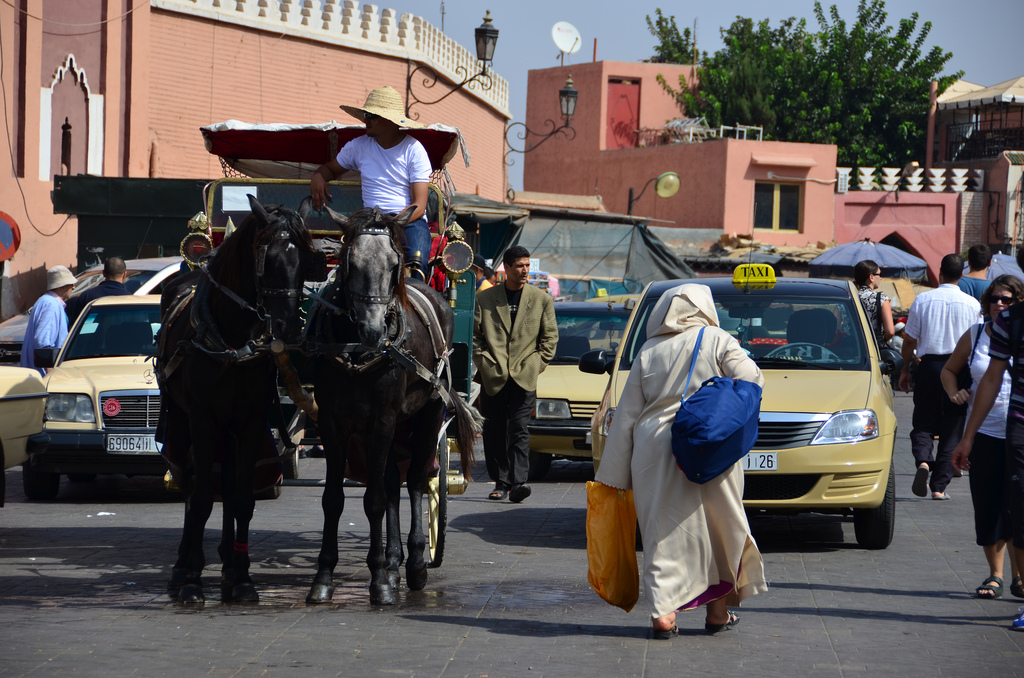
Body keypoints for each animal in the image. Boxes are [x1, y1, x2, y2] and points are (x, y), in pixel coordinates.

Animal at [307, 204, 479, 606]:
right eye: (350, 262)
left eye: (393, 264)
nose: (373, 331)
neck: (357, 352)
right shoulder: (332, 422)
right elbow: (334, 499)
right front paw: (324, 578)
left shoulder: (382, 420)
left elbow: (374, 499)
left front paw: (380, 584)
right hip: (398, 425)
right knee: (392, 482)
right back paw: (392, 560)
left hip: (427, 412)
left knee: (416, 480)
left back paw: (413, 562)